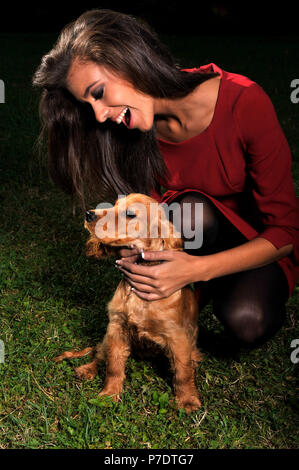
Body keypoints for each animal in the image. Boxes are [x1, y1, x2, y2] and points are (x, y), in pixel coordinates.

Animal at [55, 193, 203, 414]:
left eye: (130, 214)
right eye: (115, 204)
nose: (89, 214)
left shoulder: (177, 336)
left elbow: (183, 372)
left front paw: (187, 400)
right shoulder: (116, 328)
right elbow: (113, 365)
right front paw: (109, 394)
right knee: (99, 353)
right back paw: (87, 369)